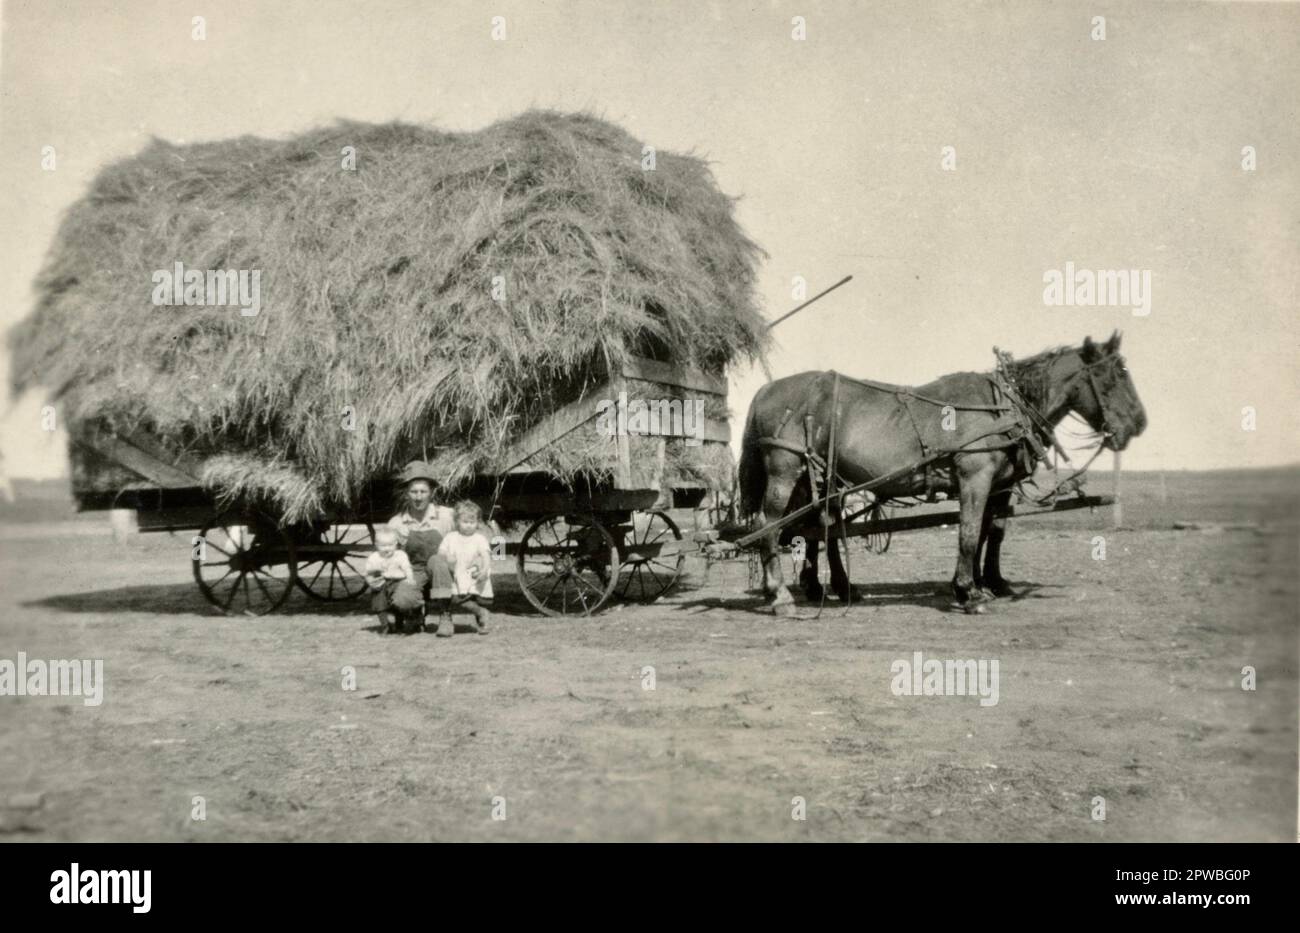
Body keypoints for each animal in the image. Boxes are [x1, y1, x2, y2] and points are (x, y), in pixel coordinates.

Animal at [743, 335, 1149, 613]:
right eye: (1113, 376)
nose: (1139, 425)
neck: (1002, 407)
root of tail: (766, 388)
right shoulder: (975, 477)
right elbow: (968, 533)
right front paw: (968, 592)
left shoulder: (998, 484)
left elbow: (990, 532)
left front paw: (987, 584)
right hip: (786, 470)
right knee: (772, 525)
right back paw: (780, 595)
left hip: (820, 477)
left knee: (817, 527)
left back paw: (833, 587)